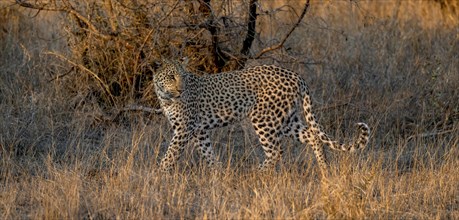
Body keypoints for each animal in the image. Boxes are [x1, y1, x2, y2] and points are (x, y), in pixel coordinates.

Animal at [154, 59, 370, 174]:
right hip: (287, 120)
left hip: (263, 118)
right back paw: (325, 170)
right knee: (313, 136)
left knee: (276, 151)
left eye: (183, 76)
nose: (181, 89)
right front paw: (218, 174)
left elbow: (170, 155)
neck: (165, 97)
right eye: (172, 77)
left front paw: (159, 175)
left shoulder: (184, 129)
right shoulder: (199, 131)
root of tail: (295, 75)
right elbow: (208, 153)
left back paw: (256, 174)